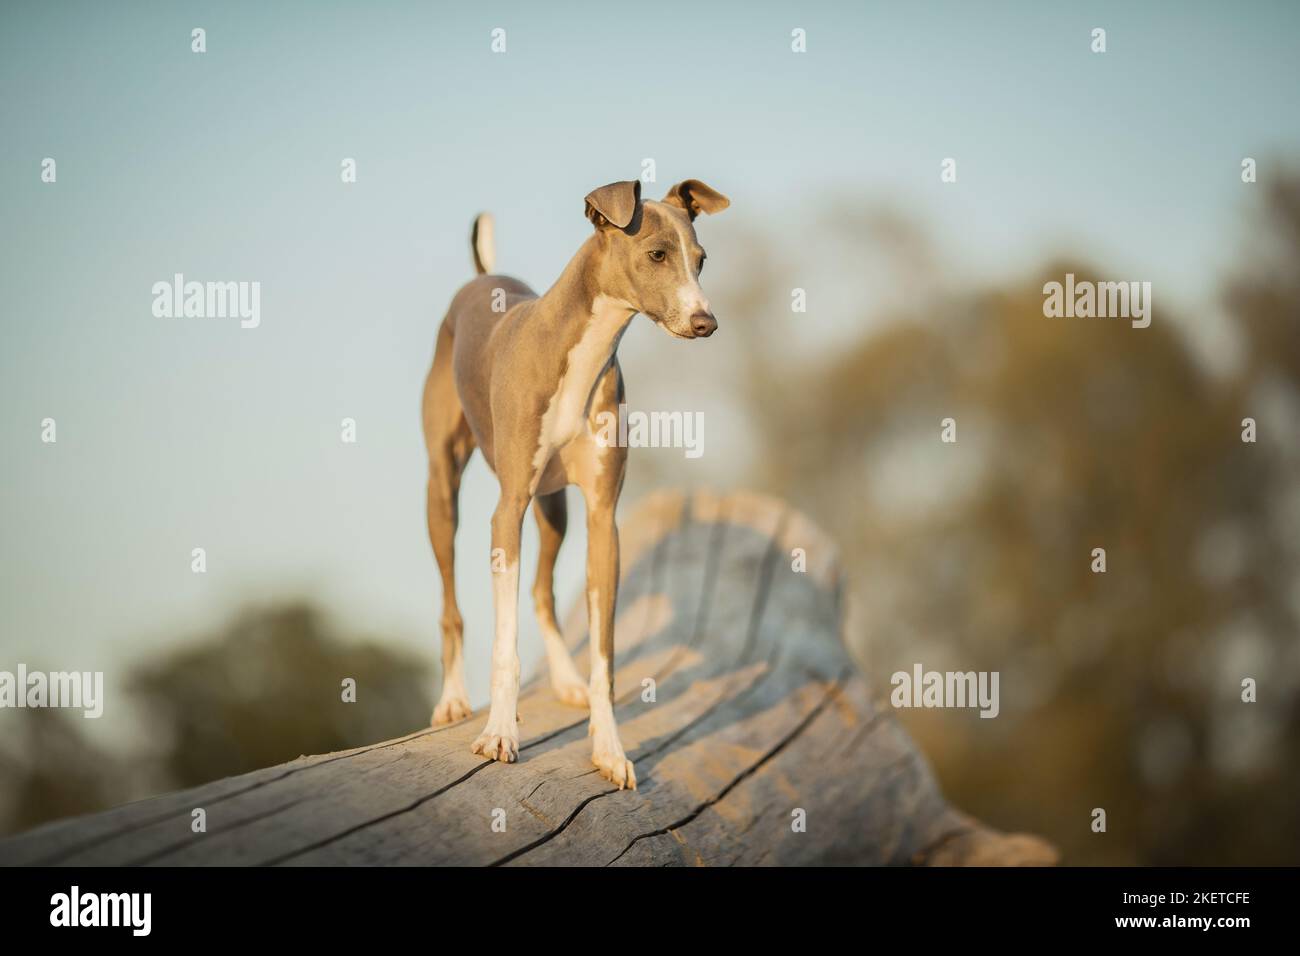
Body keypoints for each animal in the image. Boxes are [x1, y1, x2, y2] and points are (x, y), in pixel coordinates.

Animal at [421, 175, 728, 790]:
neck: (580, 352)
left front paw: (609, 749)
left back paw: (563, 680)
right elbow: (505, 645)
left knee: (542, 591)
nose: (705, 322)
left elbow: (604, 656)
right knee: (452, 606)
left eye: (702, 259)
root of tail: (481, 276)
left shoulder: (601, 519)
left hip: (554, 507)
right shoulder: (507, 508)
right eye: (657, 254)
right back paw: (453, 700)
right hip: (444, 492)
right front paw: (499, 734)